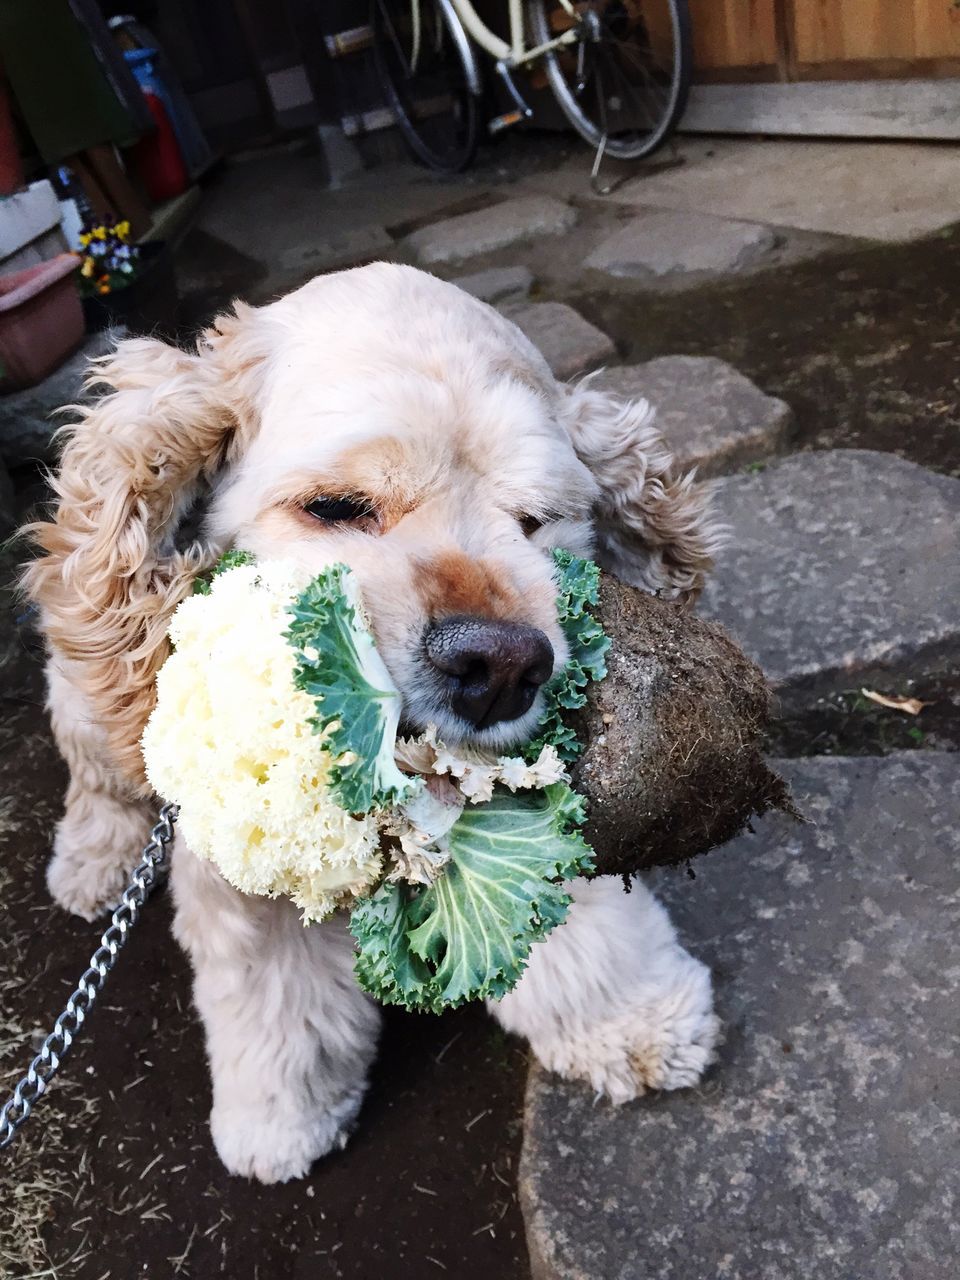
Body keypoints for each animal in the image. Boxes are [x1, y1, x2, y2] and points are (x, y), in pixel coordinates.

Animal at [22, 264, 727, 1182]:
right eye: (336, 506)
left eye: (537, 520)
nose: (502, 666)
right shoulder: (235, 866)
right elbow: (274, 994)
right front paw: (277, 1119)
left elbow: (575, 910)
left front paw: (635, 1020)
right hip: (84, 686)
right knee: (98, 778)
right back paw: (92, 868)